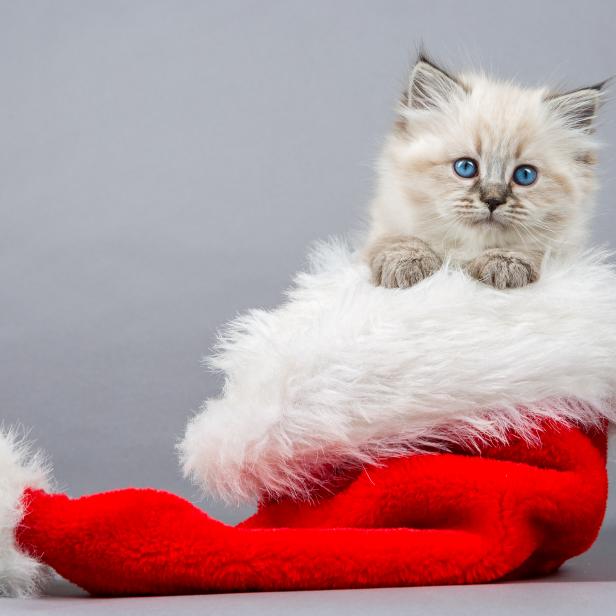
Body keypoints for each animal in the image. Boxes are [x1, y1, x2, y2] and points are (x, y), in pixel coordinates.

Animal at [364, 54, 604, 290]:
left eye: (525, 175)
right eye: (466, 167)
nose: (492, 200)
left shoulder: (561, 250)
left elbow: (528, 247)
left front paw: (504, 264)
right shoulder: (385, 224)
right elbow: (400, 239)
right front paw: (407, 263)